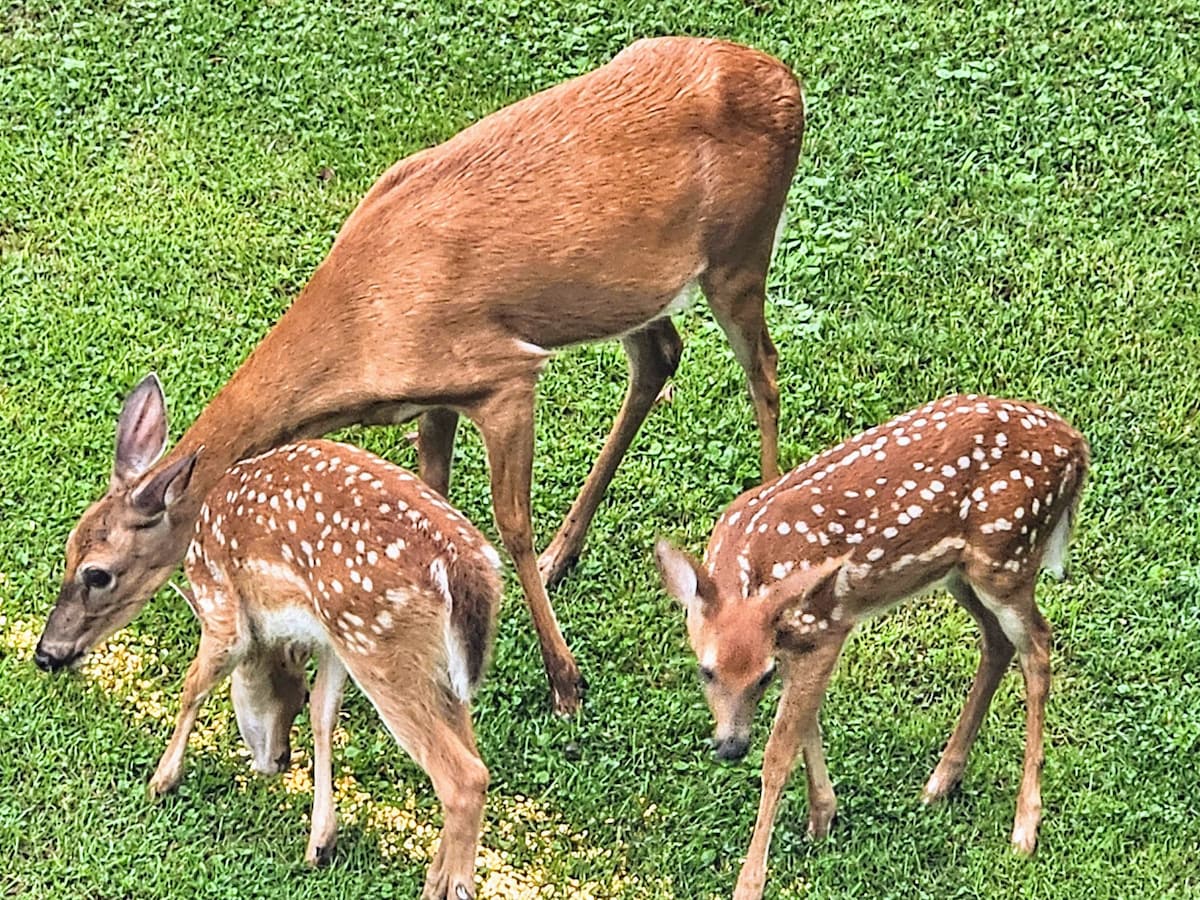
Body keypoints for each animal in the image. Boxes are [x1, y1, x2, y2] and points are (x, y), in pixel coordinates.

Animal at [37, 37, 806, 720]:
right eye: (69, 547)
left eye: (98, 571)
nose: (48, 652)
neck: (364, 323)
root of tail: (789, 83)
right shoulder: (437, 396)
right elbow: (435, 501)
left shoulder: (503, 375)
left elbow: (510, 524)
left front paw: (564, 681)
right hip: (633, 292)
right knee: (660, 358)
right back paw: (567, 551)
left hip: (740, 253)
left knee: (765, 371)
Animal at [146, 439, 501, 900]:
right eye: (290, 697)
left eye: (253, 688)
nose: (277, 760)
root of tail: (468, 573)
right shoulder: (332, 642)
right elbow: (323, 712)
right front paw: (320, 841)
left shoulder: (223, 607)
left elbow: (194, 683)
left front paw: (162, 779)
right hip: (434, 670)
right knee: (470, 757)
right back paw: (437, 877)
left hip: (380, 647)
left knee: (465, 777)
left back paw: (445, 884)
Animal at [657, 396, 1089, 900]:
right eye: (705, 670)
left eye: (761, 677)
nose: (730, 747)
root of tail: (1076, 445)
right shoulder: (798, 641)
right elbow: (805, 724)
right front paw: (822, 817)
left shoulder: (828, 626)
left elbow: (780, 752)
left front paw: (750, 882)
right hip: (960, 572)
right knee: (998, 642)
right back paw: (941, 782)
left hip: (1007, 557)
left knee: (1038, 645)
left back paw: (1024, 826)